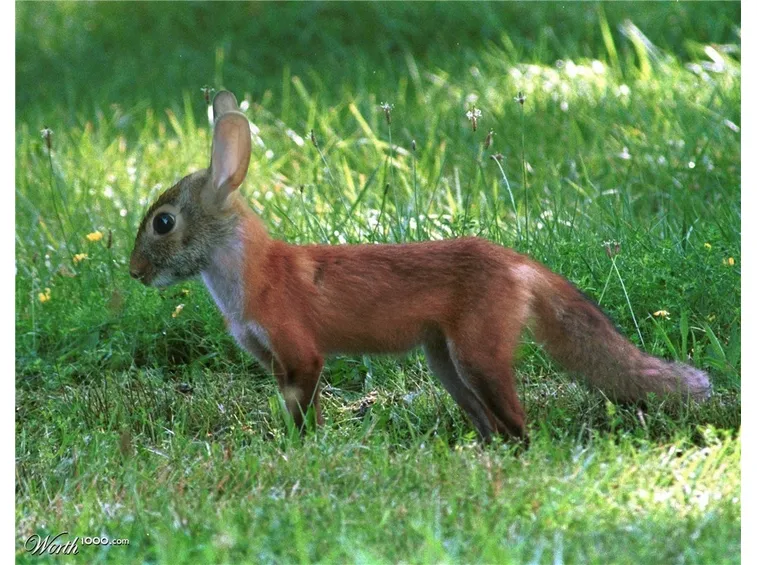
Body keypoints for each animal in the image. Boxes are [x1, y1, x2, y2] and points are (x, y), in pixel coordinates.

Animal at [129, 90, 711, 441]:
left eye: (162, 223)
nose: (133, 272)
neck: (251, 281)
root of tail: (514, 257)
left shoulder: (303, 356)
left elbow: (306, 424)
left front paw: (303, 454)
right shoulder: (275, 364)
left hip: (477, 361)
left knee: (521, 428)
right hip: (448, 367)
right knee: (495, 429)